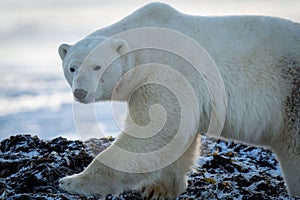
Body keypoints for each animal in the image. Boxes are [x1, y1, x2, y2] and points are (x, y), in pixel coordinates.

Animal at [57, 1, 298, 198]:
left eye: (98, 66)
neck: (147, 37)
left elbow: (154, 132)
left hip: (290, 95)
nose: (80, 92)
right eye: (72, 68)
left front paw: (72, 182)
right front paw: (159, 189)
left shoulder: (169, 70)